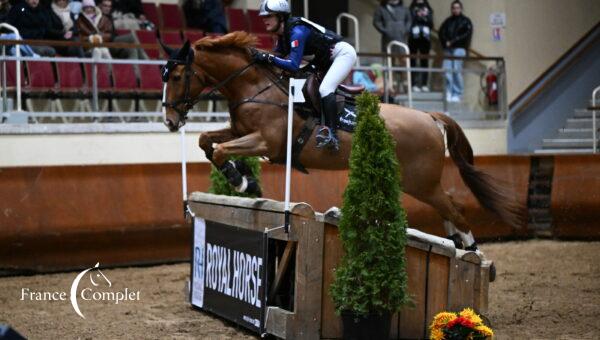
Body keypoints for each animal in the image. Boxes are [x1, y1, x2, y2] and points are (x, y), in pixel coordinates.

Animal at [162, 31, 524, 248]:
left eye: (178, 76)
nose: (169, 121)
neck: (254, 86)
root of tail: (430, 118)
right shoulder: (240, 132)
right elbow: (207, 142)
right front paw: (244, 180)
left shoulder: (267, 142)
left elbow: (221, 150)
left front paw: (241, 182)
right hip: (419, 183)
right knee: (448, 206)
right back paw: (458, 245)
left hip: (420, 182)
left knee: (455, 208)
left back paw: (471, 253)